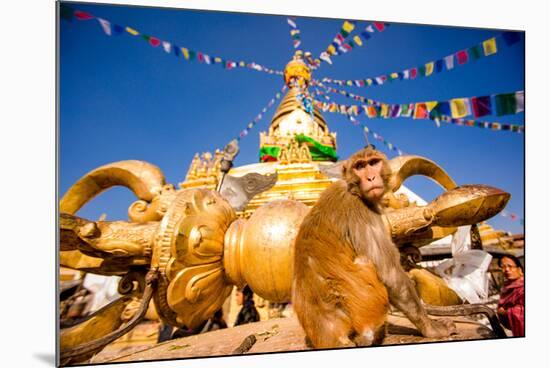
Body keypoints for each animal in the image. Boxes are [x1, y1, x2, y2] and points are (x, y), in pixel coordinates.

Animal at [294, 147, 458, 348]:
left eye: (373, 163)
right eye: (359, 166)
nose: (371, 177)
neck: (353, 189)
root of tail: (330, 336)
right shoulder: (363, 210)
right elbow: (391, 275)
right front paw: (432, 329)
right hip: (367, 308)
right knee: (366, 262)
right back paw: (369, 336)